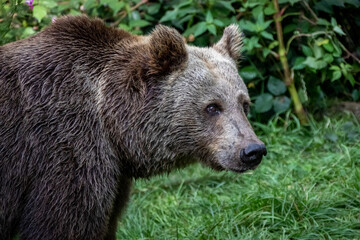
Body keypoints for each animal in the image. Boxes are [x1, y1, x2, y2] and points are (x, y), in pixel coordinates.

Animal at [0, 15, 264, 239]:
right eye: (212, 107)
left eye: (244, 103)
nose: (252, 150)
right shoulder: (65, 150)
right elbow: (65, 222)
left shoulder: (114, 176)